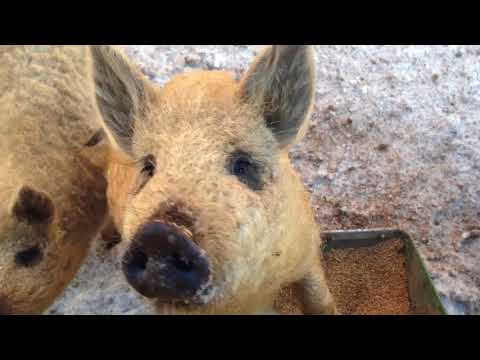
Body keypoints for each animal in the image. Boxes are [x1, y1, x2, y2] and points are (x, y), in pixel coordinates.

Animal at [91, 45, 338, 314]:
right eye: (149, 167)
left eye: (243, 164)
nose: (160, 234)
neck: (247, 297)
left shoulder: (306, 248)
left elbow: (317, 298)